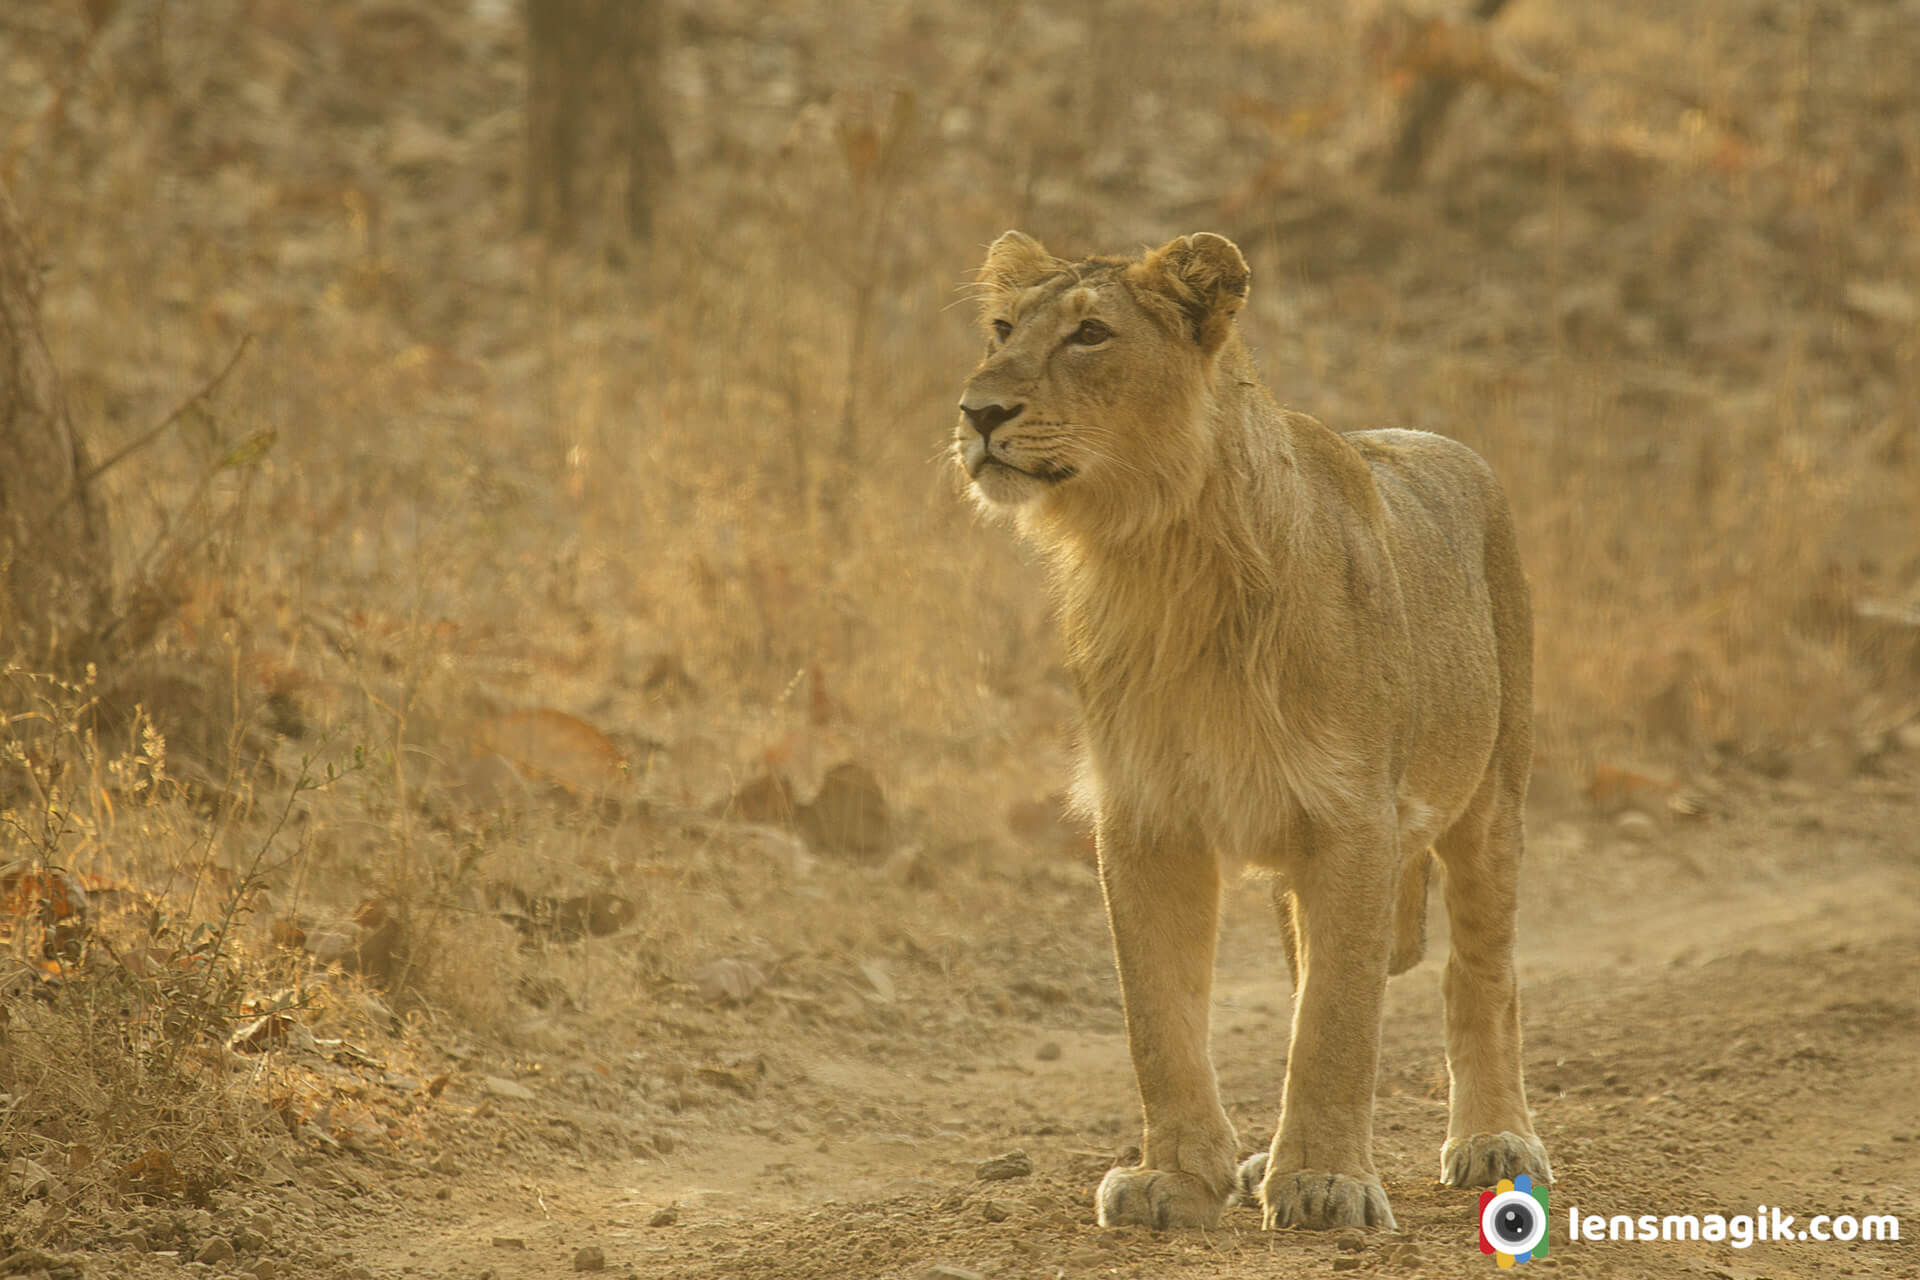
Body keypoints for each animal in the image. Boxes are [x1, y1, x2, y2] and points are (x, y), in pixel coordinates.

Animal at [952, 230, 1551, 1228]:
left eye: (1090, 334)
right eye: (1001, 328)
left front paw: (1324, 1183)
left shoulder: (1353, 820)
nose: (978, 410)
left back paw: (1494, 1138)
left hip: (1490, 799)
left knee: (1481, 973)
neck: (1159, 554)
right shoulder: (1147, 817)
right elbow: (1160, 1016)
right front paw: (1177, 1177)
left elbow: (1335, 1022)